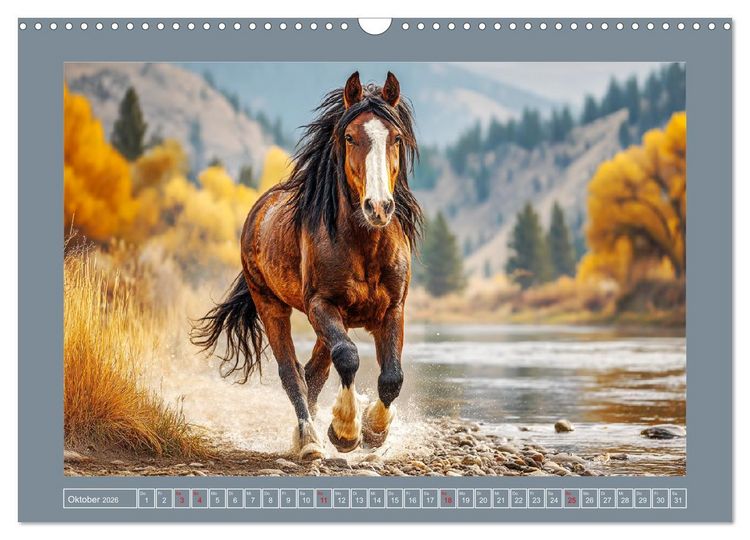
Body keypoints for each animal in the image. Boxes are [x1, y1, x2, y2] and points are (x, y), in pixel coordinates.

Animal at [191, 71, 423, 460]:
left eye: (396, 137)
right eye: (349, 137)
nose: (378, 207)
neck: (365, 246)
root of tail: (258, 211)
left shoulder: (393, 309)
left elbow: (392, 376)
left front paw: (374, 431)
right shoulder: (321, 305)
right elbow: (348, 357)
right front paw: (344, 431)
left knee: (314, 371)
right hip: (272, 306)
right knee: (292, 373)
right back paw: (309, 440)